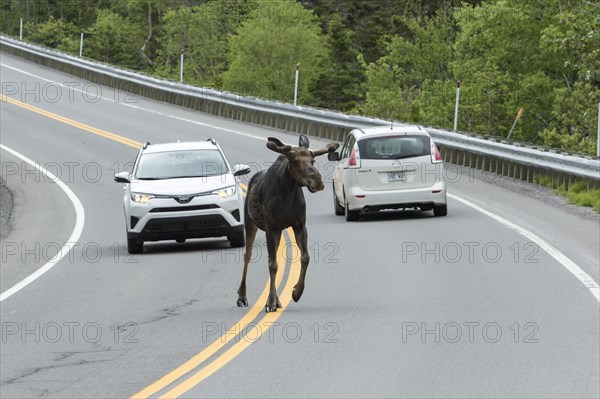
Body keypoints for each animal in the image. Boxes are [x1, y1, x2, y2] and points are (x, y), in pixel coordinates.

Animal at [237, 134, 340, 312]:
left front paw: (296, 292)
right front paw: (271, 302)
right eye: (295, 162)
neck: (288, 192)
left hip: (278, 232)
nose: (317, 180)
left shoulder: (299, 225)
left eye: (312, 161)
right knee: (247, 256)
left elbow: (305, 257)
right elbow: (272, 264)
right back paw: (242, 296)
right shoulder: (270, 227)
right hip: (251, 223)